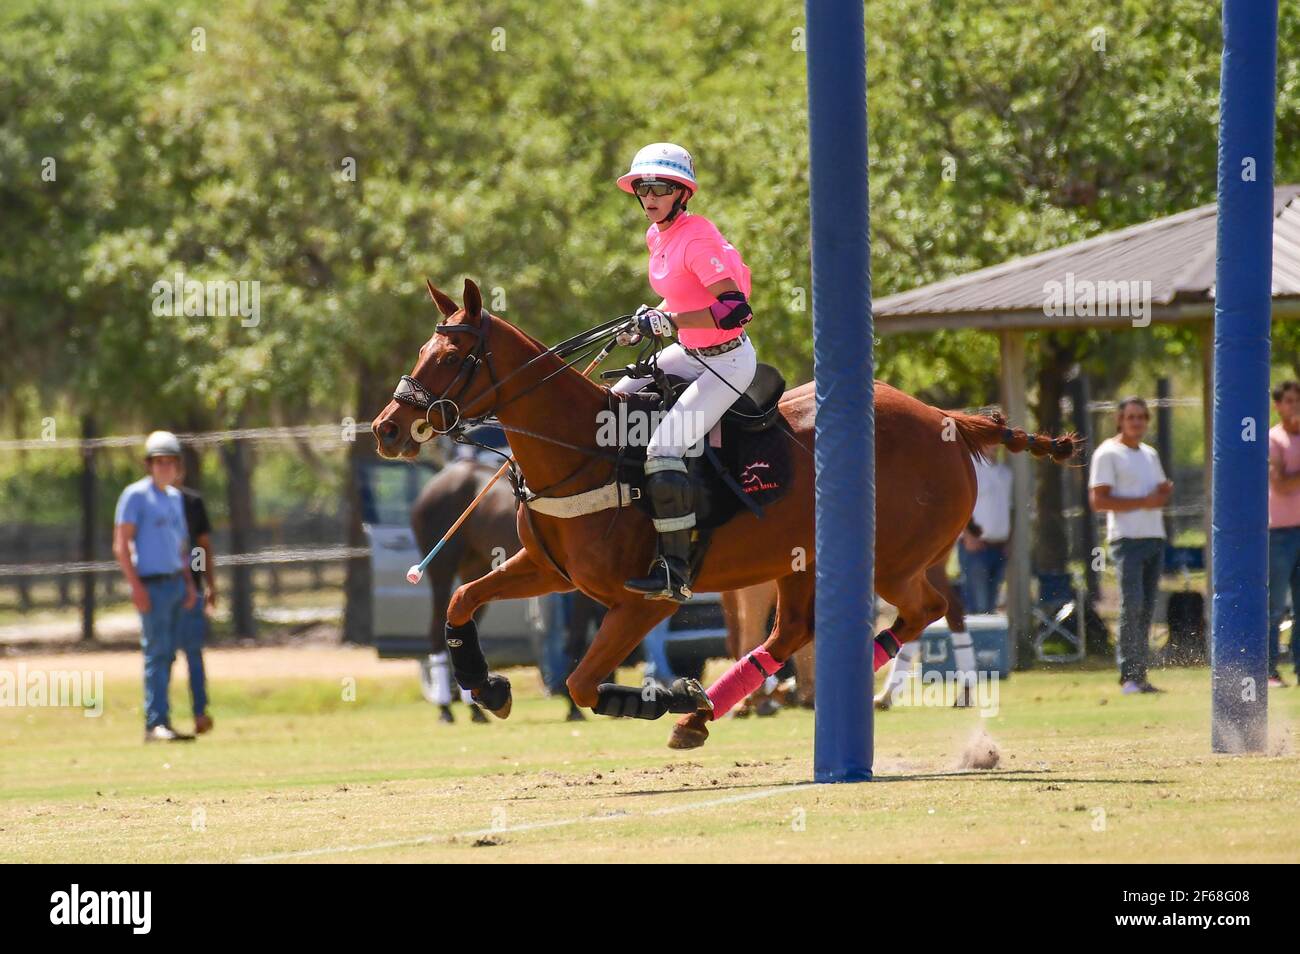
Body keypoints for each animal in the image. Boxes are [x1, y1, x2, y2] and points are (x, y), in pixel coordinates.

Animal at [369, 280, 1076, 748]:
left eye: (451, 357)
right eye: (422, 352)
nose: (387, 429)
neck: (581, 449)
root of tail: (949, 419)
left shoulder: (642, 600)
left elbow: (581, 682)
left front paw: (667, 693)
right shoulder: (548, 569)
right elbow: (464, 602)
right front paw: (487, 686)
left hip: (895, 559)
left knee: (928, 608)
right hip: (803, 561)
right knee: (795, 630)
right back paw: (708, 711)